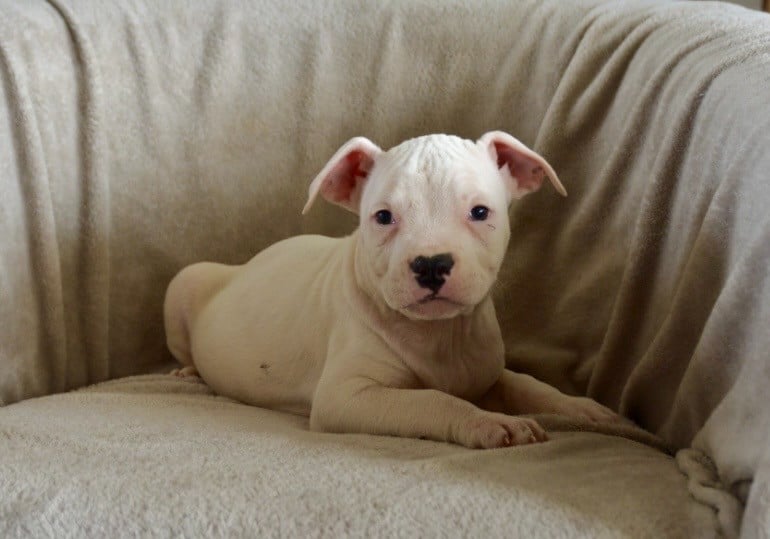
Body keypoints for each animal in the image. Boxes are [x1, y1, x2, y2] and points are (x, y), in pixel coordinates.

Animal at [163, 131, 619, 449]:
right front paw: (489, 422)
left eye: (480, 212)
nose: (431, 264)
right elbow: (431, 400)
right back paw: (187, 371)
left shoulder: (487, 371)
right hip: (183, 282)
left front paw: (582, 409)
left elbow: (527, 383)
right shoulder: (348, 395)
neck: (441, 335)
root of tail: (242, 267)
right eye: (383, 217)